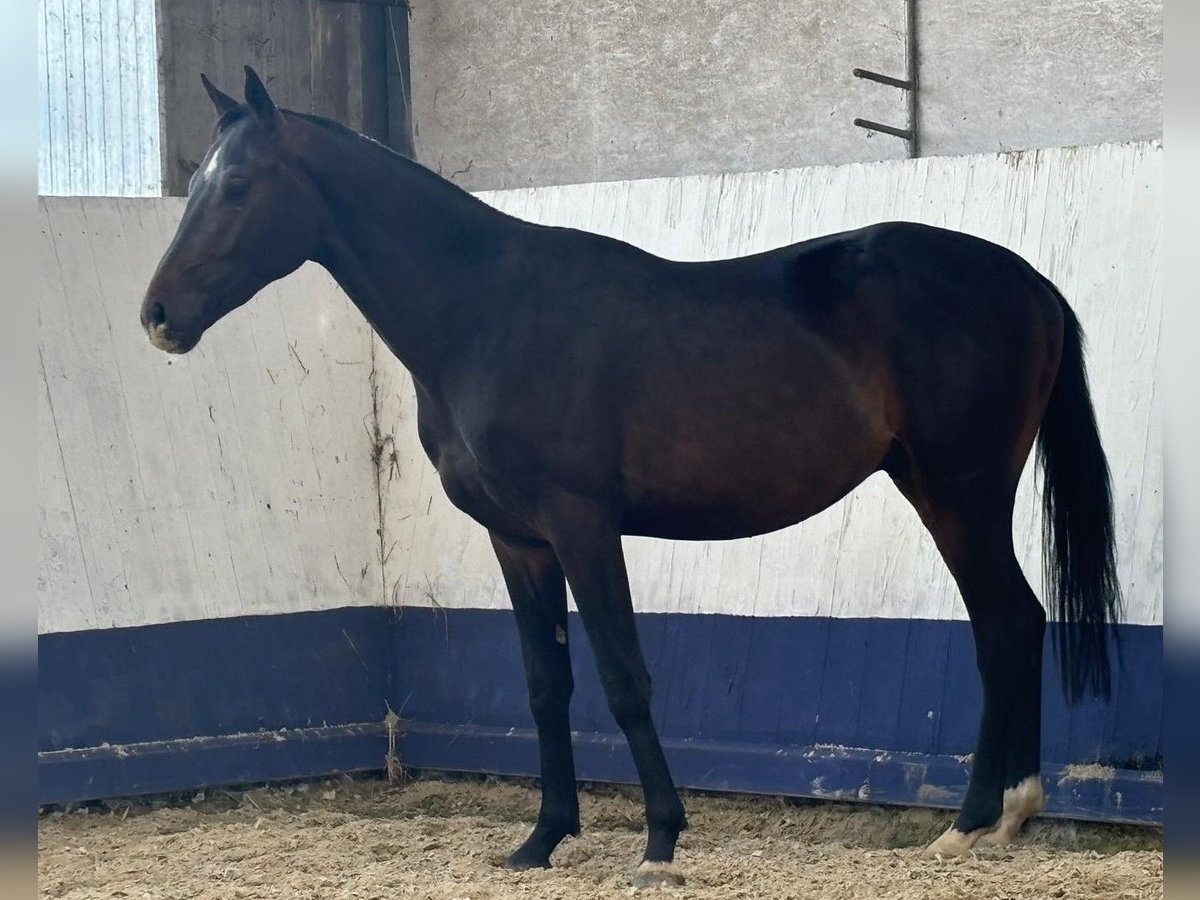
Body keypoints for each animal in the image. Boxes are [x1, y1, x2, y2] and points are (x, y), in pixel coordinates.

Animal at [142, 66, 1123, 892]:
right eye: (197, 186)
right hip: (942, 491)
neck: (487, 311)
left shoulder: (582, 524)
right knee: (1011, 624)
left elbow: (623, 676)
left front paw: (658, 841)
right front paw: (542, 839)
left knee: (1005, 625)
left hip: (961, 492)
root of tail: (1029, 281)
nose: (157, 316)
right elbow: (547, 684)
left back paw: (973, 822)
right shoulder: (519, 540)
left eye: (238, 186)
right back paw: (1001, 822)